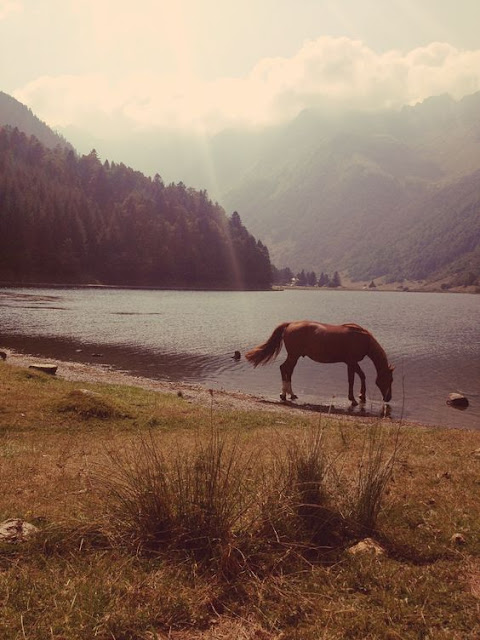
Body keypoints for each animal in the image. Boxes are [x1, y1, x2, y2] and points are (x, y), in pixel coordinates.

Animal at [248, 320, 394, 404]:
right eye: (390, 379)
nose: (388, 398)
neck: (363, 339)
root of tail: (290, 324)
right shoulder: (351, 362)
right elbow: (352, 379)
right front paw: (353, 399)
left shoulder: (351, 363)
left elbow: (361, 376)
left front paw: (361, 396)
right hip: (293, 355)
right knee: (285, 369)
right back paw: (285, 394)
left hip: (294, 356)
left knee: (287, 370)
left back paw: (289, 394)